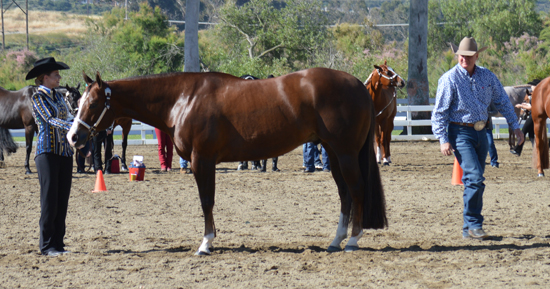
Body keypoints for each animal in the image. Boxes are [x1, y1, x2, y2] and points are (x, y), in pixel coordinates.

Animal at [68, 68, 388, 254]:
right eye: (78, 102)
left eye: (93, 103)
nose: (73, 137)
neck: (184, 99)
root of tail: (358, 85)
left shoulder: (203, 160)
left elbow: (206, 200)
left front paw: (206, 243)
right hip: (333, 152)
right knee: (344, 193)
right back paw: (336, 241)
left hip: (345, 153)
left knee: (356, 190)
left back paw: (353, 241)